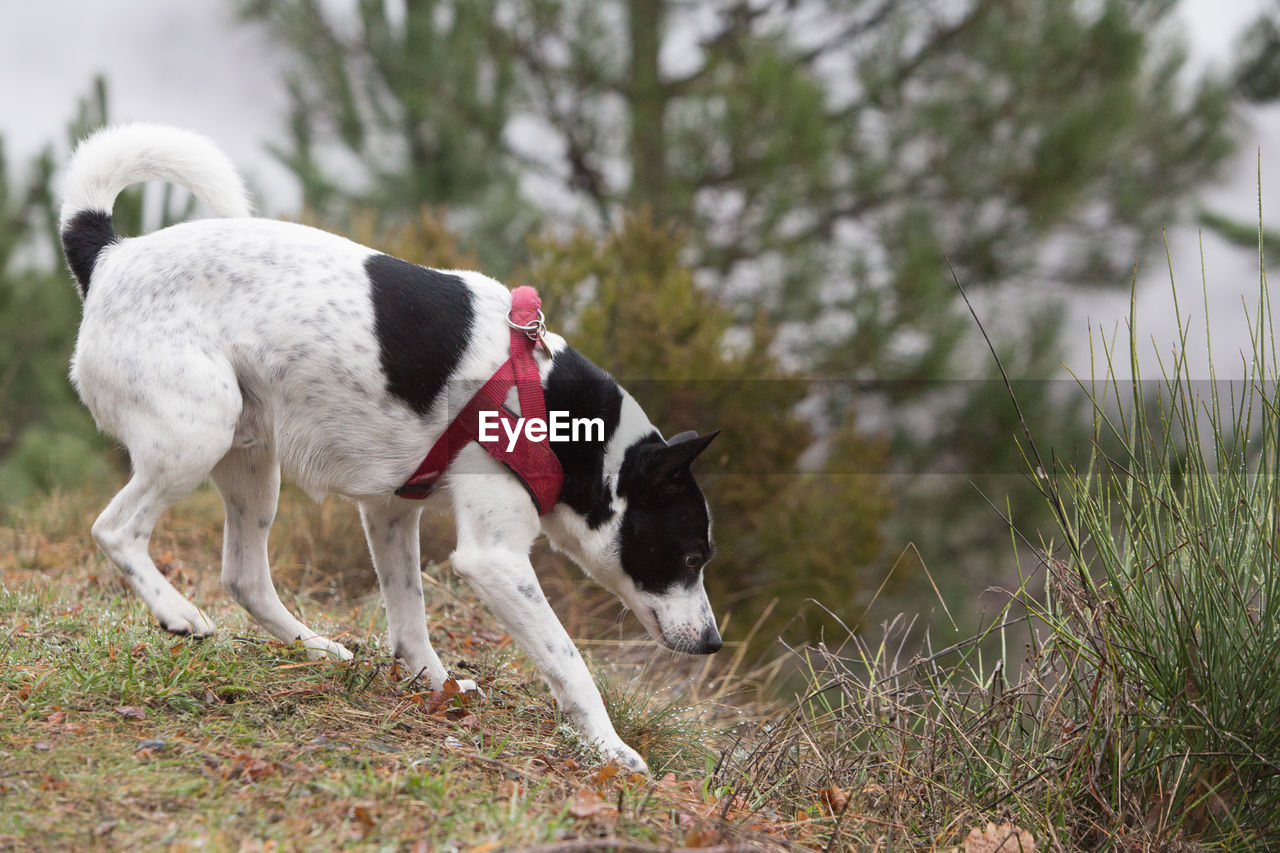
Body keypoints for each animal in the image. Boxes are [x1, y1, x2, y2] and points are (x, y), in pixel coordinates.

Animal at [57, 124, 721, 768]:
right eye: (691, 557)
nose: (714, 642)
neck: (557, 408)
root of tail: (112, 255)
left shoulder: (391, 511)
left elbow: (409, 621)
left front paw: (436, 686)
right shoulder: (496, 561)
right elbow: (570, 662)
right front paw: (610, 748)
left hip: (251, 462)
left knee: (243, 576)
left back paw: (314, 647)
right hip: (197, 433)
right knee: (116, 529)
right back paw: (178, 613)